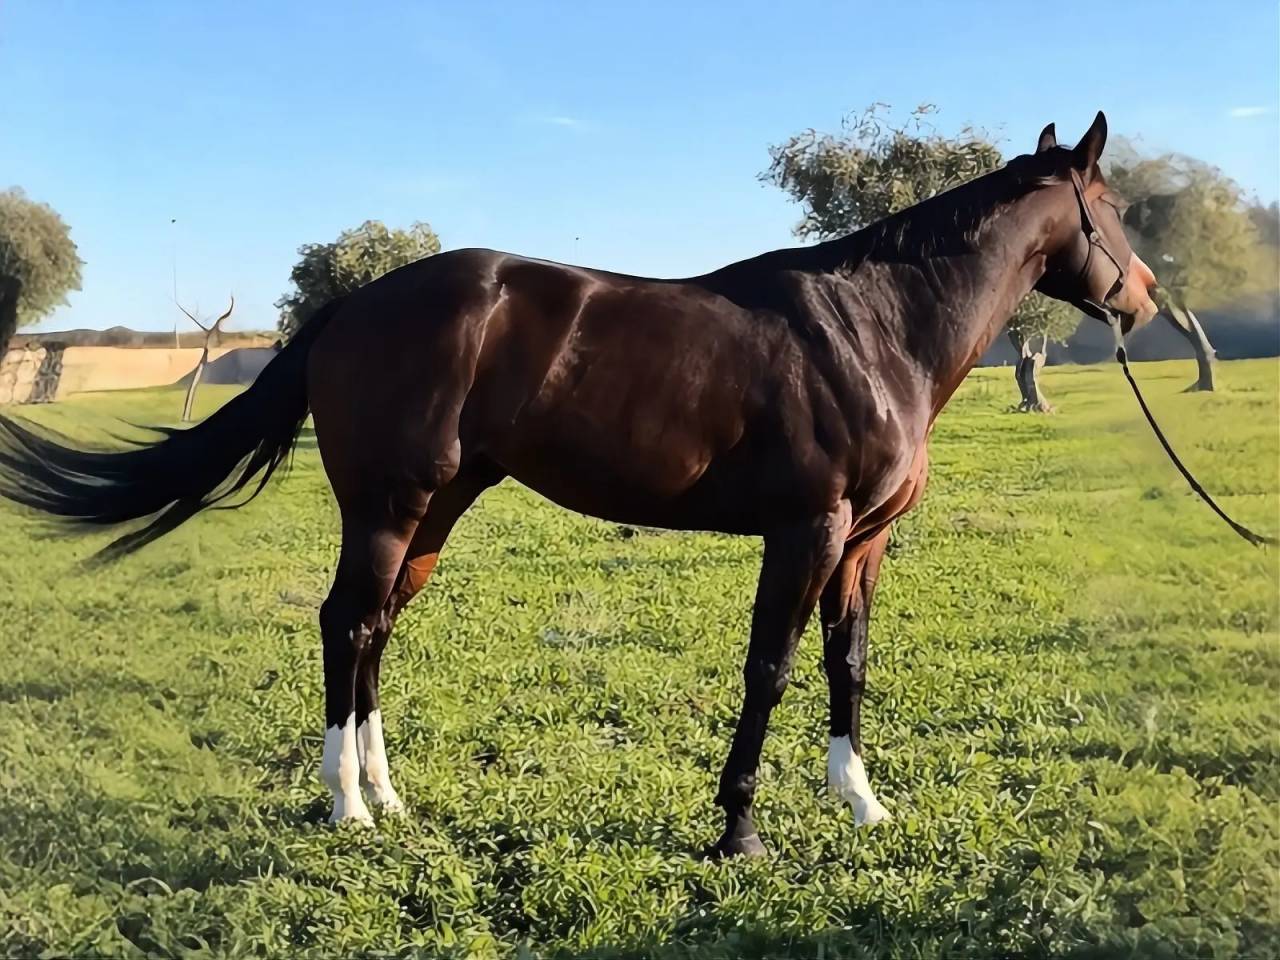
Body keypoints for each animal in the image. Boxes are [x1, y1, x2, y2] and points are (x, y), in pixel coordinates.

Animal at [0, 112, 1157, 858]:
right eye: (1112, 209)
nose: (1144, 295)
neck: (872, 328)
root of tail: (354, 305)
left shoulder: (863, 542)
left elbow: (848, 665)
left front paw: (859, 803)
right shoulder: (806, 531)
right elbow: (770, 671)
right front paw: (738, 829)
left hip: (436, 510)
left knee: (376, 629)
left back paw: (388, 795)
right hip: (387, 504)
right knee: (347, 623)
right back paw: (347, 807)